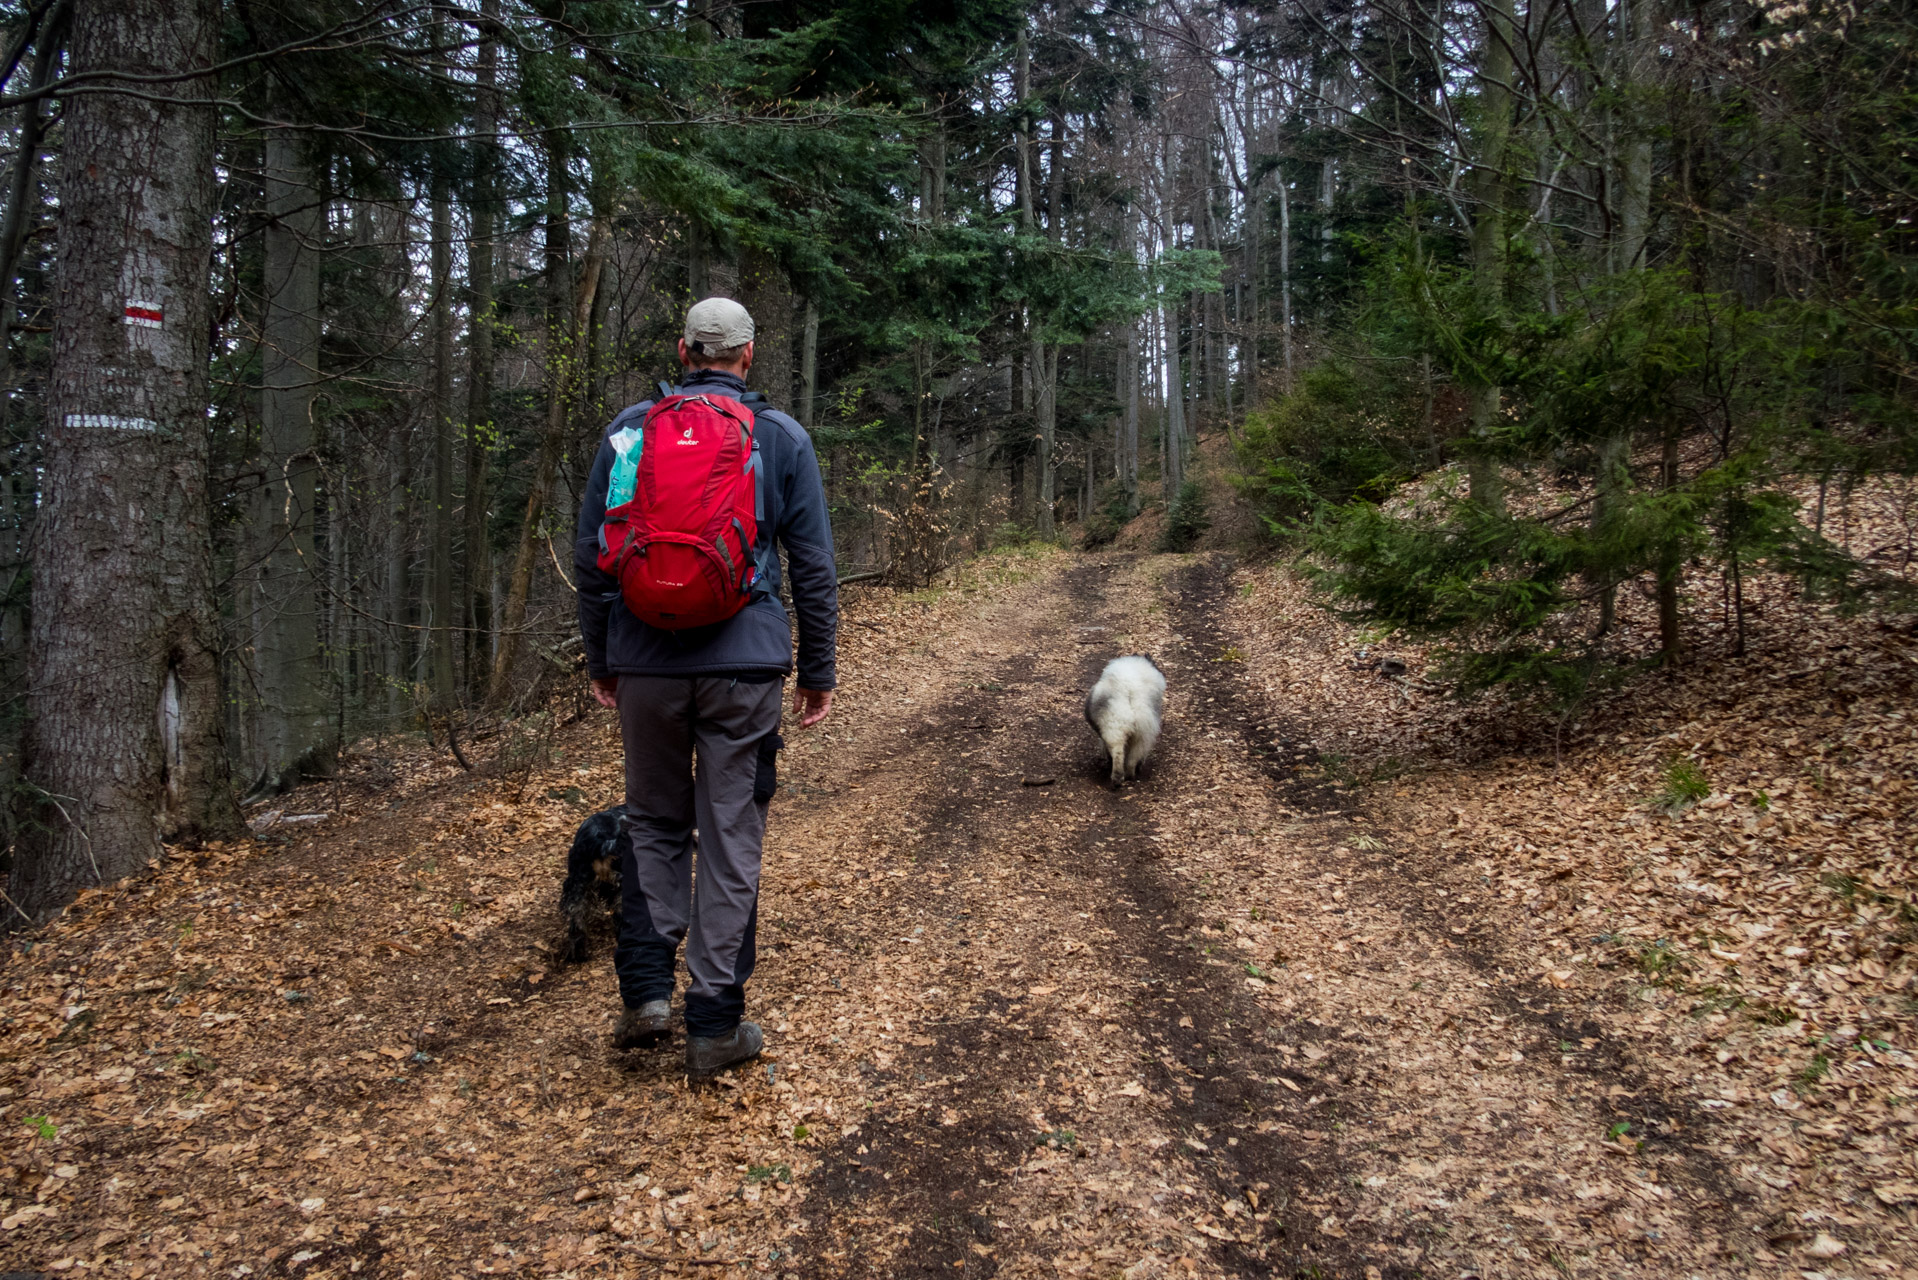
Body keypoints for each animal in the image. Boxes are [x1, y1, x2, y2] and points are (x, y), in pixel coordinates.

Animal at [1089, 656, 1158, 786]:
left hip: (1116, 731)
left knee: (1118, 754)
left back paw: (1118, 778)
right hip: (1140, 735)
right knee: (1133, 757)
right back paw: (1129, 775)